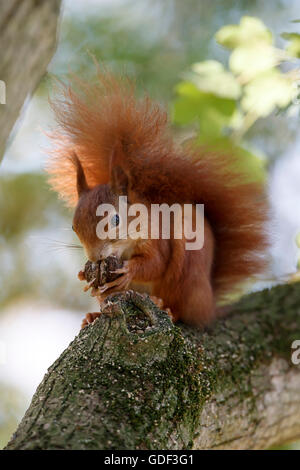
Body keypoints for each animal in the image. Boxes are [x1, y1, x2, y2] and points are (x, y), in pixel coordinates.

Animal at [47, 72, 270, 326]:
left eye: (115, 220)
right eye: (73, 227)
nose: (95, 257)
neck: (123, 248)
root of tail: (209, 303)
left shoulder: (157, 236)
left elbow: (156, 263)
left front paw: (129, 271)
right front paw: (84, 276)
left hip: (189, 267)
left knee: (184, 307)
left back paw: (167, 308)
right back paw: (93, 314)